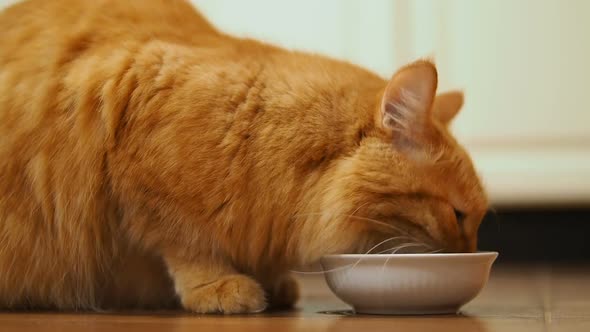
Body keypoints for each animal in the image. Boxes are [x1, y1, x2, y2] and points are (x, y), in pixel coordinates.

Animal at [0, 0, 488, 314]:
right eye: (459, 215)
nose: (470, 252)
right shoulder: (139, 173)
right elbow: (185, 242)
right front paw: (219, 287)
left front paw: (272, 281)